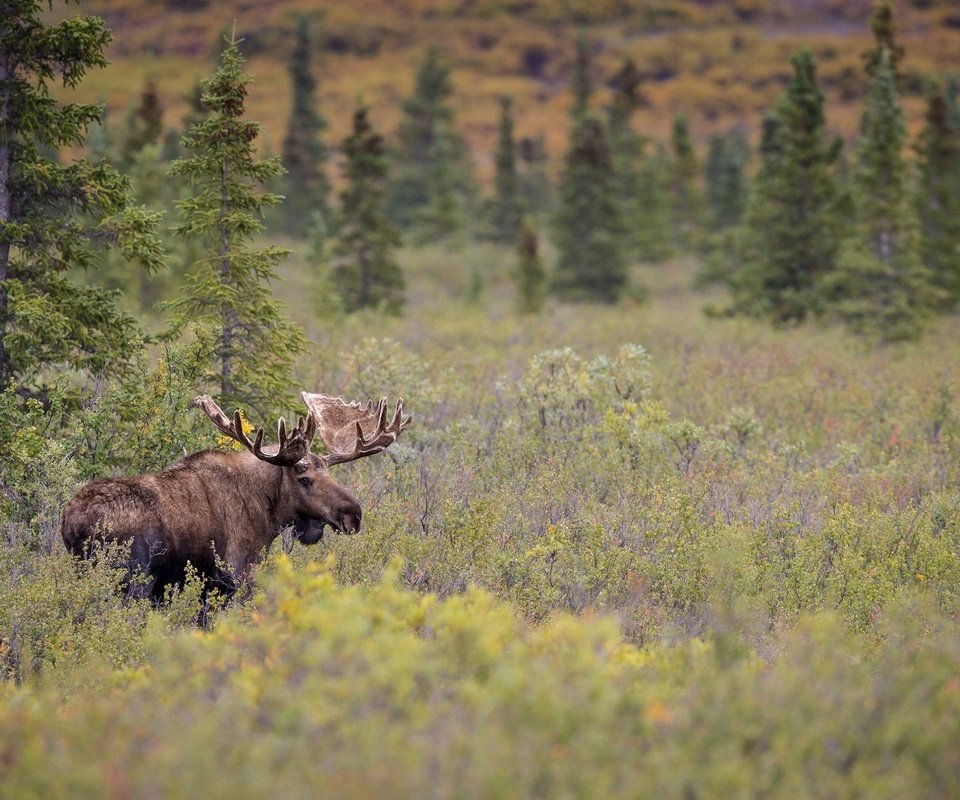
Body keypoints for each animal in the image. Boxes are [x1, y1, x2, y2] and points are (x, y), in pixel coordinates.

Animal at [59, 390, 412, 604]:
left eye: (330, 473)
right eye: (305, 479)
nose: (353, 514)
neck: (268, 512)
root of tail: (71, 523)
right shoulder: (237, 574)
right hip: (132, 579)